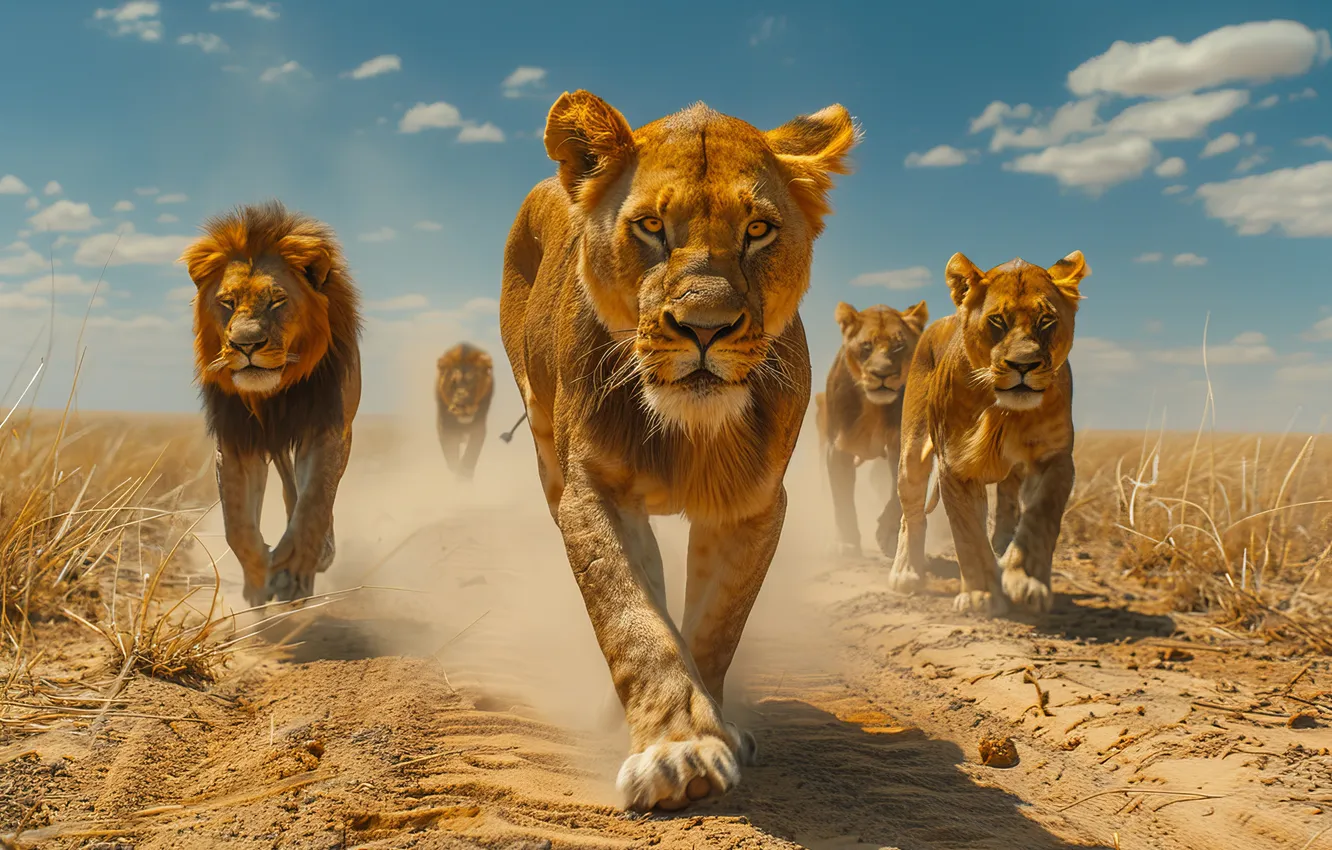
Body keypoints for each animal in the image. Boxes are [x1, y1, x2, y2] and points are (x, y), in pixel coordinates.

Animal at [180, 200, 362, 607]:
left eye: (278, 301)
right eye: (227, 302)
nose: (246, 344)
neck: (275, 395)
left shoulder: (328, 429)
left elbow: (313, 504)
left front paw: (294, 574)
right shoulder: (236, 438)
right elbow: (236, 522)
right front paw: (258, 579)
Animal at [435, 342, 494, 480]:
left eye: (472, 383)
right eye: (453, 383)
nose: (461, 404)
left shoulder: (479, 426)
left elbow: (471, 453)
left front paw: (464, 475)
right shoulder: (446, 428)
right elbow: (451, 455)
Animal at [499, 89, 858, 811]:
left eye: (758, 230)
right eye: (650, 227)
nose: (705, 327)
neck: (688, 430)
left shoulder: (753, 505)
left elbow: (716, 623)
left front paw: (714, 725)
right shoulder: (592, 491)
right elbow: (633, 619)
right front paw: (677, 749)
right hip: (547, 448)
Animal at [820, 300, 927, 557]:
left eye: (899, 347)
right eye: (866, 346)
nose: (882, 374)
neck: (873, 405)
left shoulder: (902, 445)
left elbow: (897, 495)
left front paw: (887, 534)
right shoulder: (837, 448)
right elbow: (842, 498)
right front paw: (846, 544)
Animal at [888, 251, 1091, 616]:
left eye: (1046, 321)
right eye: (997, 321)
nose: (1023, 365)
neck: (1003, 413)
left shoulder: (1055, 458)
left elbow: (1042, 517)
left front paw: (1025, 580)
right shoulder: (956, 466)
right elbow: (968, 533)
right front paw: (980, 595)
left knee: (1008, 507)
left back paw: (1004, 549)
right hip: (911, 454)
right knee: (911, 513)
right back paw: (906, 572)